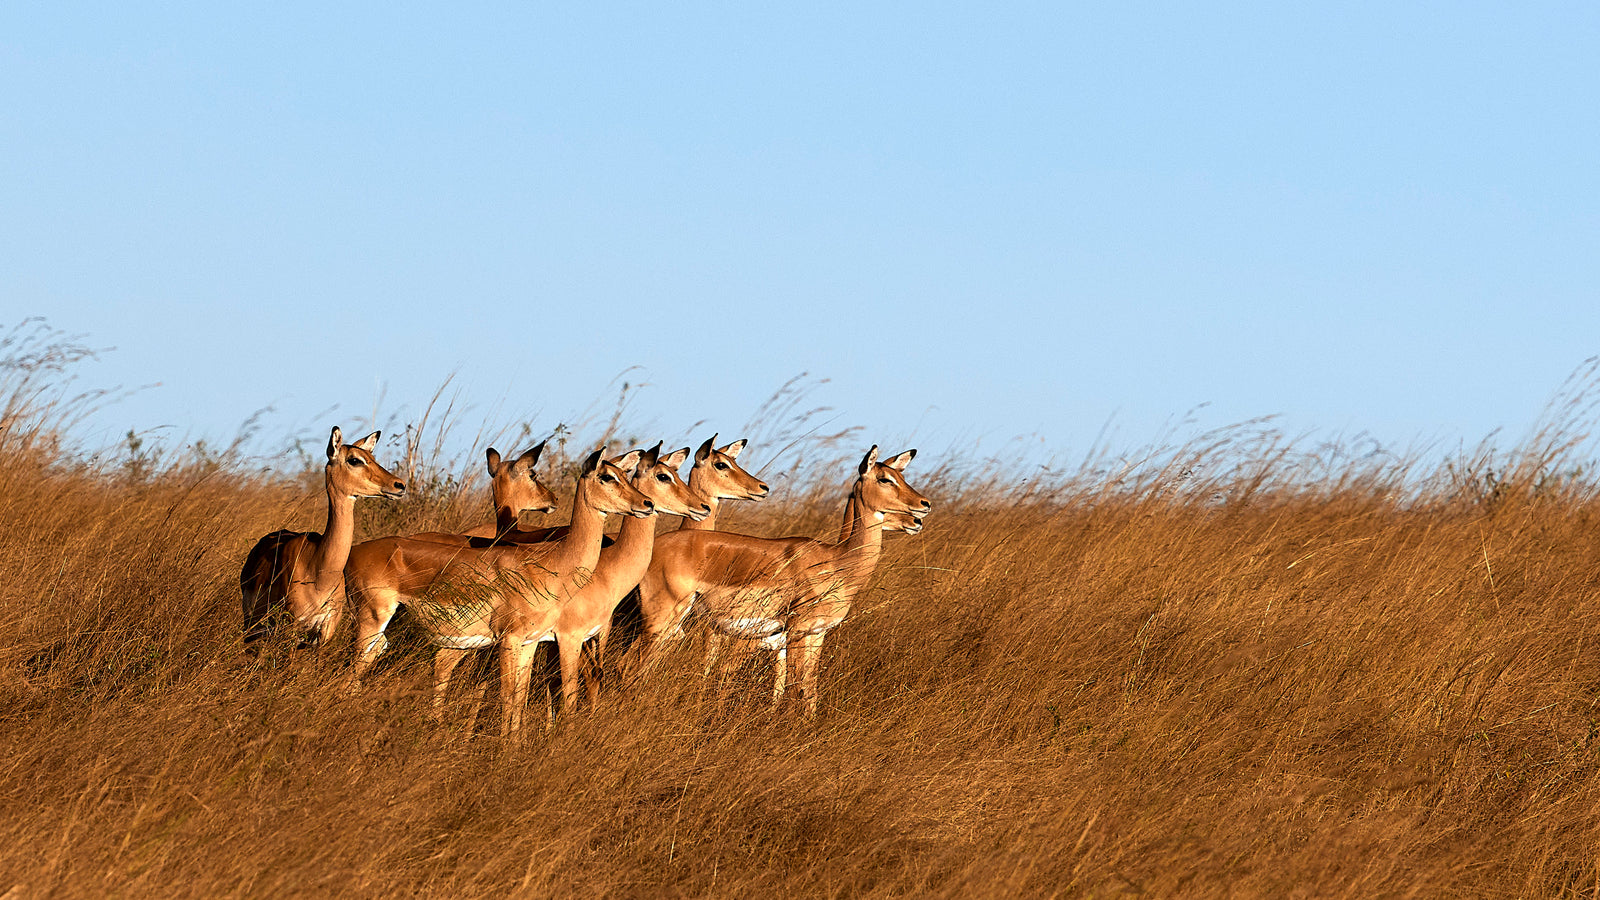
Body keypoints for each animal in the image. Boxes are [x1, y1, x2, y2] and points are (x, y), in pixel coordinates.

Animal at [239, 427, 406, 650]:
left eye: (372, 457)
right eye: (354, 460)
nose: (400, 485)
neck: (319, 570)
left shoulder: (326, 632)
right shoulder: (292, 628)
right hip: (254, 626)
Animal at [345, 447, 654, 735]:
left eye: (626, 474)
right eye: (607, 476)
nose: (647, 503)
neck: (553, 563)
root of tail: (353, 554)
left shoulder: (531, 642)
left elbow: (520, 698)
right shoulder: (514, 638)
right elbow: (510, 696)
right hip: (372, 623)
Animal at [550, 442, 709, 714]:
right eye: (663, 476)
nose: (703, 506)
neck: (607, 567)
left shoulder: (600, 631)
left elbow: (597, 675)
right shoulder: (573, 635)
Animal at [632, 445, 931, 716]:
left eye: (901, 475)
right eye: (884, 478)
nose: (923, 507)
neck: (837, 562)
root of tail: (655, 548)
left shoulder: (816, 634)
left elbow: (809, 690)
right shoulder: (797, 631)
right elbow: (797, 688)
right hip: (663, 621)